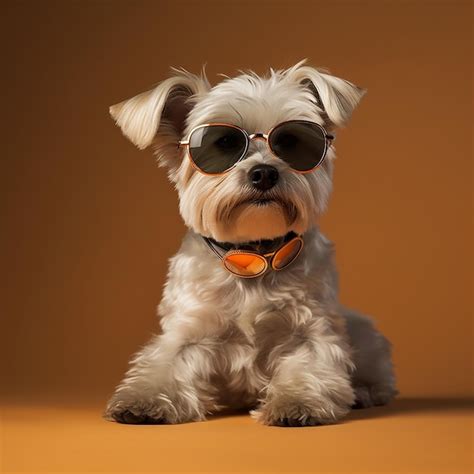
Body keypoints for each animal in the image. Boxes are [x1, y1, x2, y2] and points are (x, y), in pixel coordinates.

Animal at [103, 59, 396, 426]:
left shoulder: (310, 330)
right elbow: (165, 361)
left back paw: (368, 391)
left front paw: (296, 401)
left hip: (361, 331)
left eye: (291, 141)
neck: (254, 254)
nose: (264, 172)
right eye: (225, 142)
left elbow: (309, 361)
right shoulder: (189, 330)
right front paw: (143, 398)